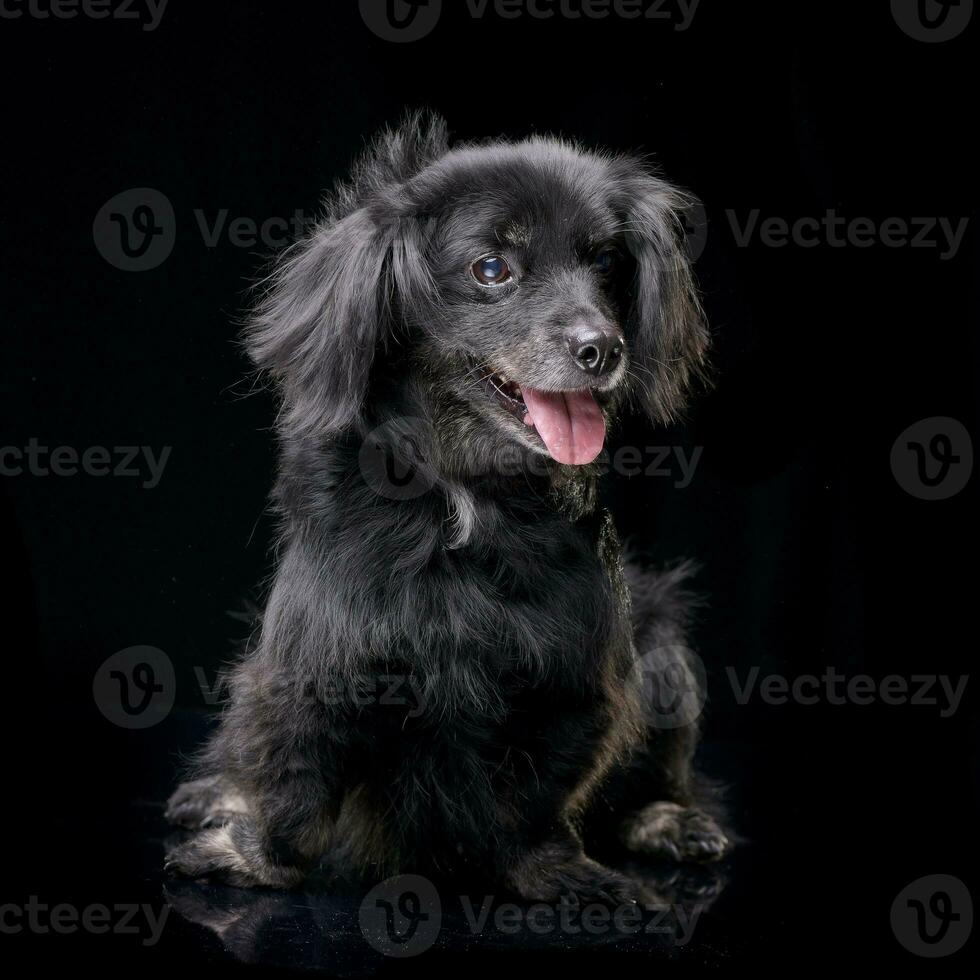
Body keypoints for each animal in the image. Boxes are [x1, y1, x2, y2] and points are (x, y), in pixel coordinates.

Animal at [163, 111, 728, 900]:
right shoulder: (316, 661)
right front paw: (254, 857)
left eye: (606, 263)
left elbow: (545, 793)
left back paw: (668, 821)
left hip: (666, 648)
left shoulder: (580, 676)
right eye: (492, 269)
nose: (602, 348)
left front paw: (558, 870)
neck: (465, 494)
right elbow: (294, 785)